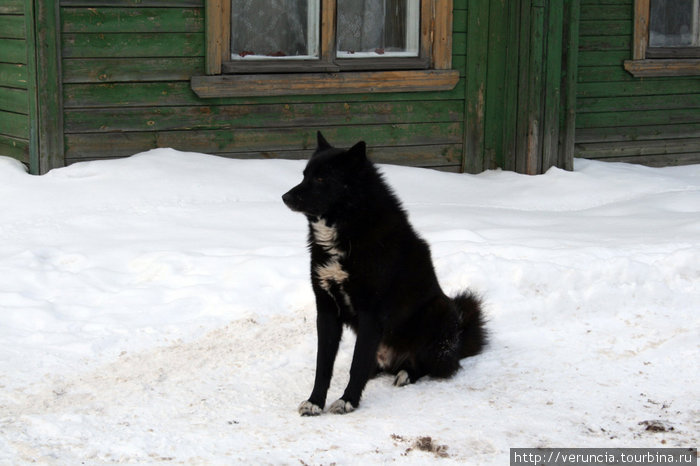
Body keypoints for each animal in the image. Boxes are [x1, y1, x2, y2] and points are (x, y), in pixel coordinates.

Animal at [282, 132, 484, 416]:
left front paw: (348, 400)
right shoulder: (327, 310)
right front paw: (315, 401)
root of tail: (460, 342)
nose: (285, 197)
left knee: (428, 365)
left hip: (439, 311)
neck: (349, 227)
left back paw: (406, 373)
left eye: (322, 178)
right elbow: (323, 365)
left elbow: (356, 364)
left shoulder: (371, 313)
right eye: (304, 175)